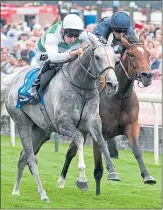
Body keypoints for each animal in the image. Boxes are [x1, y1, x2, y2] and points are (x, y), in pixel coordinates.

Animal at [5, 36, 119, 202]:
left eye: (116, 59)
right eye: (97, 57)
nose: (112, 84)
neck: (81, 87)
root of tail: (13, 81)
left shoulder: (93, 121)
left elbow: (102, 141)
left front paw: (113, 172)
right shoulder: (63, 124)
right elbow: (79, 139)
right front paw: (82, 180)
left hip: (40, 131)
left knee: (22, 157)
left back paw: (15, 190)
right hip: (22, 122)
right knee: (31, 159)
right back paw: (43, 194)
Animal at [58, 34, 156, 194]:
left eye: (148, 54)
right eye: (132, 54)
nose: (147, 75)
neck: (119, 96)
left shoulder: (132, 126)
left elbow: (137, 150)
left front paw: (147, 176)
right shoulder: (99, 129)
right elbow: (102, 150)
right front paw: (112, 172)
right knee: (70, 153)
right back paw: (62, 180)